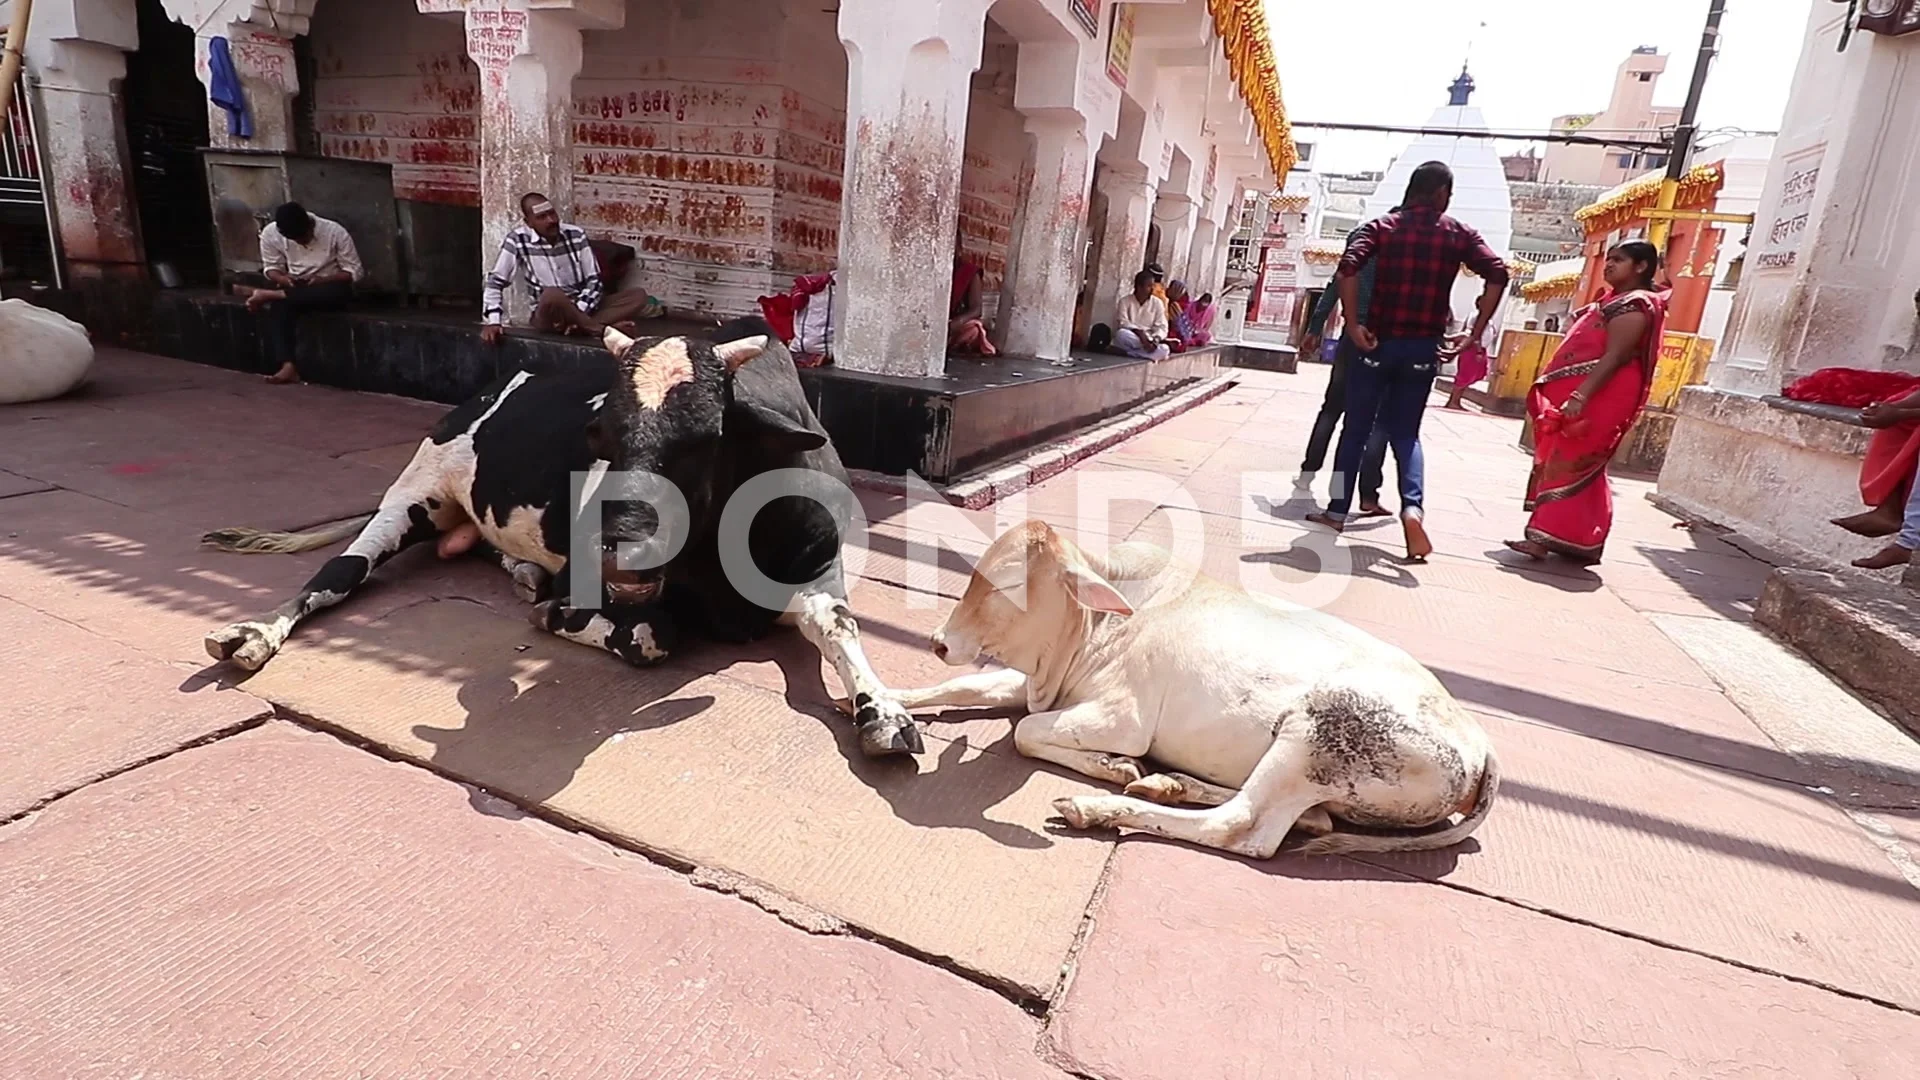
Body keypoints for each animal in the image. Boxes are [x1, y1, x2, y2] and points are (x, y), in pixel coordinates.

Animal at [202, 319, 921, 753]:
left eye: (707, 438)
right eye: (601, 433)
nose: (623, 555)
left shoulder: (822, 567)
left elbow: (840, 626)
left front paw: (883, 711)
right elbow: (651, 634)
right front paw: (559, 615)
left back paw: (522, 573)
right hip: (415, 491)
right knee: (337, 574)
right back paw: (254, 633)